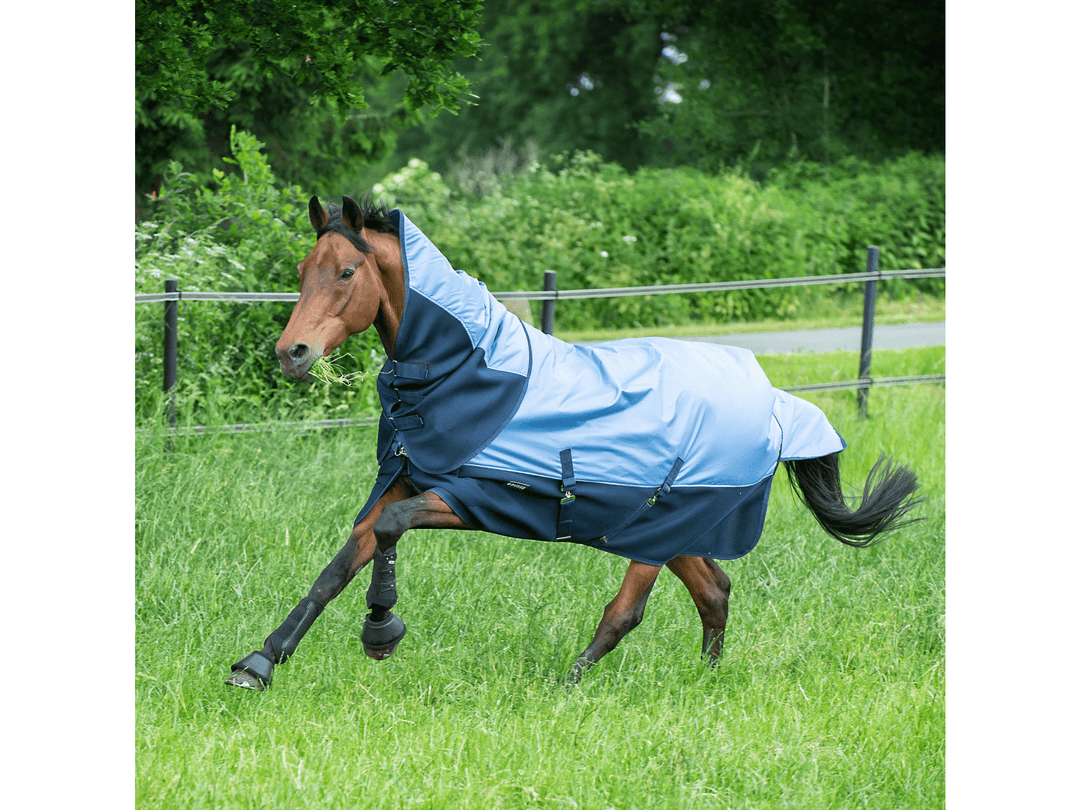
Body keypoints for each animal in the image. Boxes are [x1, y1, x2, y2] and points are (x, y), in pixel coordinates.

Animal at [226, 195, 922, 691]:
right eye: (301, 272)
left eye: (346, 271)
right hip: (665, 530)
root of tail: (779, 405)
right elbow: (341, 564)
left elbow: (389, 535)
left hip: (659, 531)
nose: (292, 353)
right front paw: (260, 662)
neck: (469, 370)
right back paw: (704, 682)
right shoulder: (405, 480)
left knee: (627, 612)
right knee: (714, 591)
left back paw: (567, 686)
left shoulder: (475, 498)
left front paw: (381, 632)